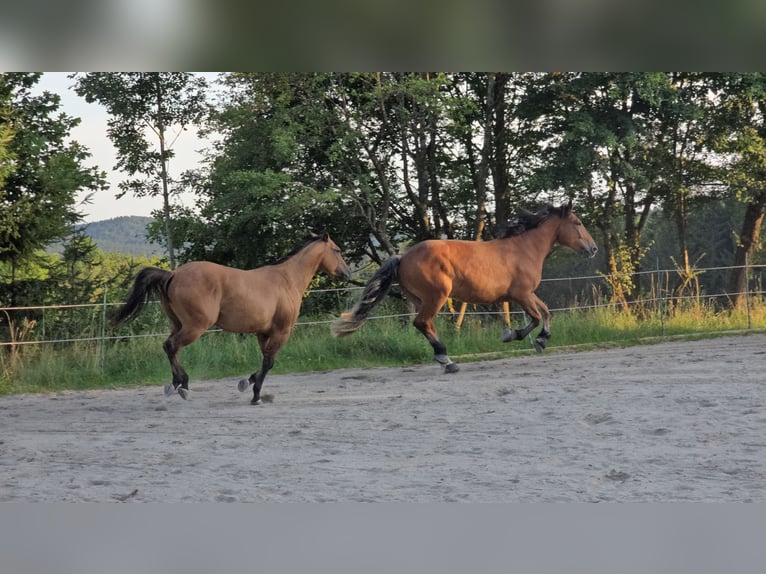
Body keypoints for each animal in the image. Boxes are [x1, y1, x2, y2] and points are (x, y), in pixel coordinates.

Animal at [110, 233, 352, 404]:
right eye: (337, 250)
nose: (348, 273)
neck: (286, 280)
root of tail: (173, 274)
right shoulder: (281, 331)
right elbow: (269, 363)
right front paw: (255, 395)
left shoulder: (263, 333)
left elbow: (265, 363)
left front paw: (248, 382)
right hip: (195, 326)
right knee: (171, 346)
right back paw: (183, 385)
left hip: (178, 324)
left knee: (169, 347)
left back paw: (176, 384)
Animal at [332, 205, 596, 376]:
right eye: (578, 223)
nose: (592, 249)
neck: (524, 249)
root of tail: (403, 256)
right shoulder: (521, 295)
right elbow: (535, 317)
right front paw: (513, 335)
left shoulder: (528, 294)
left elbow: (546, 312)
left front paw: (541, 340)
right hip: (437, 296)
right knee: (422, 323)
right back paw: (446, 360)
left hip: (421, 299)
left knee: (426, 325)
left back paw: (445, 360)